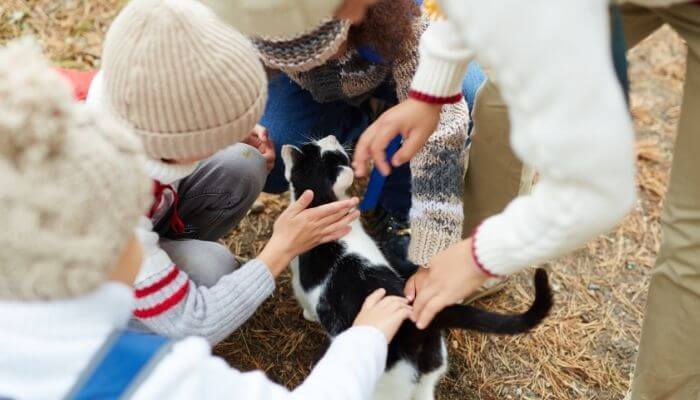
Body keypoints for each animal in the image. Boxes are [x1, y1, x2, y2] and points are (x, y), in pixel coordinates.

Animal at [280, 136, 552, 398]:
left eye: (318, 147)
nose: (333, 136)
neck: (323, 205)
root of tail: (418, 320)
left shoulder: (300, 283)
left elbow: (305, 301)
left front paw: (308, 315)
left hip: (388, 384)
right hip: (429, 373)